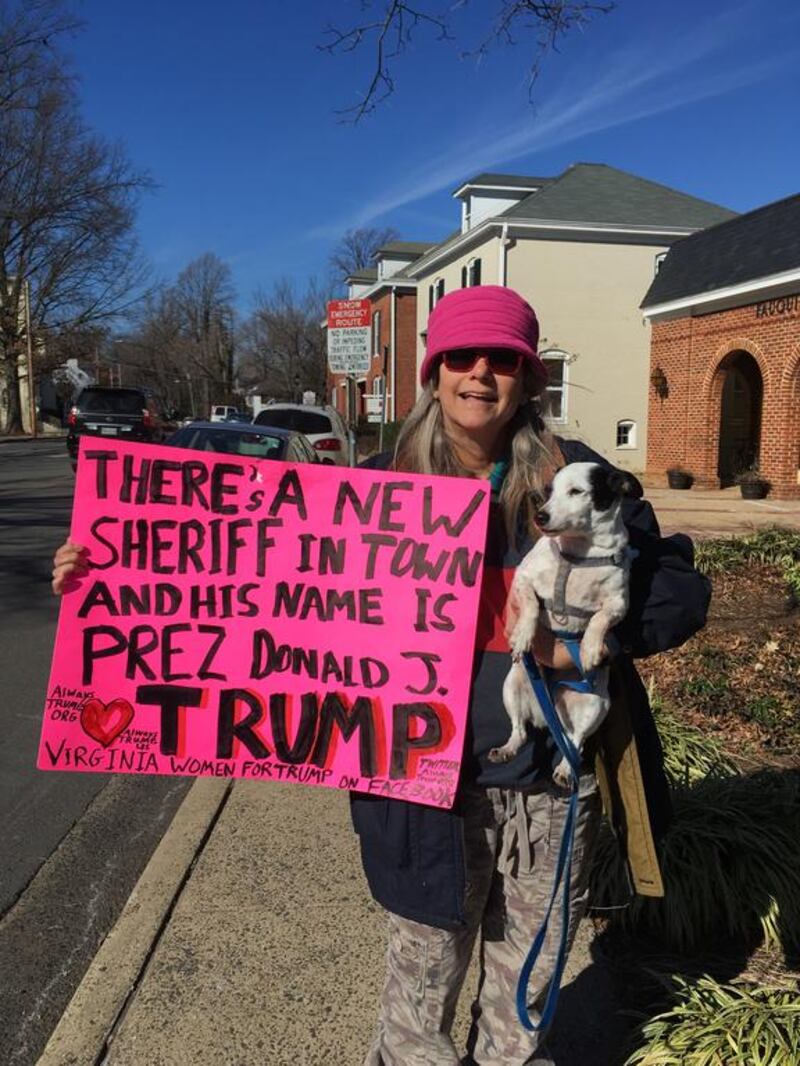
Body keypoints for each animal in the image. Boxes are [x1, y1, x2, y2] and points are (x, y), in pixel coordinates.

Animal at [488, 462, 640, 788]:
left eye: (576, 491)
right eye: (549, 491)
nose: (540, 516)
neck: (580, 553)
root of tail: (548, 716)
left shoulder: (619, 603)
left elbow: (598, 620)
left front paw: (590, 648)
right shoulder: (523, 578)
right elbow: (531, 607)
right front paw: (523, 635)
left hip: (594, 706)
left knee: (575, 744)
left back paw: (564, 770)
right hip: (513, 685)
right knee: (520, 731)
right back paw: (507, 749)